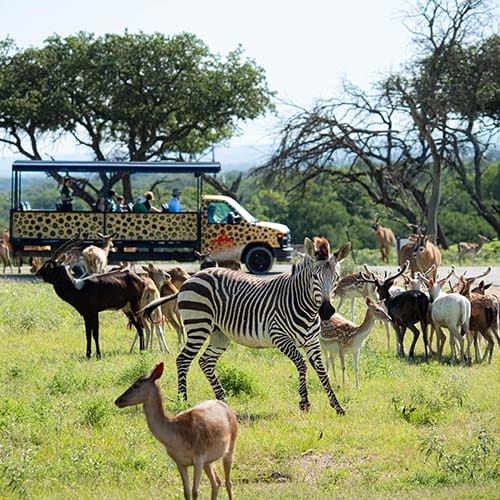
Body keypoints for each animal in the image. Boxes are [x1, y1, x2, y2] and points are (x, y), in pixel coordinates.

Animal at [115, 362, 238, 500]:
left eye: (136, 385)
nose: (118, 400)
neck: (177, 438)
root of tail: (228, 408)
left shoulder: (199, 458)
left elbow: (195, 491)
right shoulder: (180, 462)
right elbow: (186, 492)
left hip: (231, 445)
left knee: (228, 482)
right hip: (209, 460)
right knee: (217, 482)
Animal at [142, 237, 351, 414]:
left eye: (336, 278)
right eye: (315, 277)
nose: (327, 311)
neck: (304, 306)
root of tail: (193, 277)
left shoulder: (312, 342)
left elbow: (323, 372)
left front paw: (338, 407)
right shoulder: (279, 336)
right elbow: (301, 364)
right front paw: (305, 403)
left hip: (219, 333)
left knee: (205, 361)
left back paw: (222, 399)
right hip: (198, 325)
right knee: (183, 359)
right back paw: (183, 401)